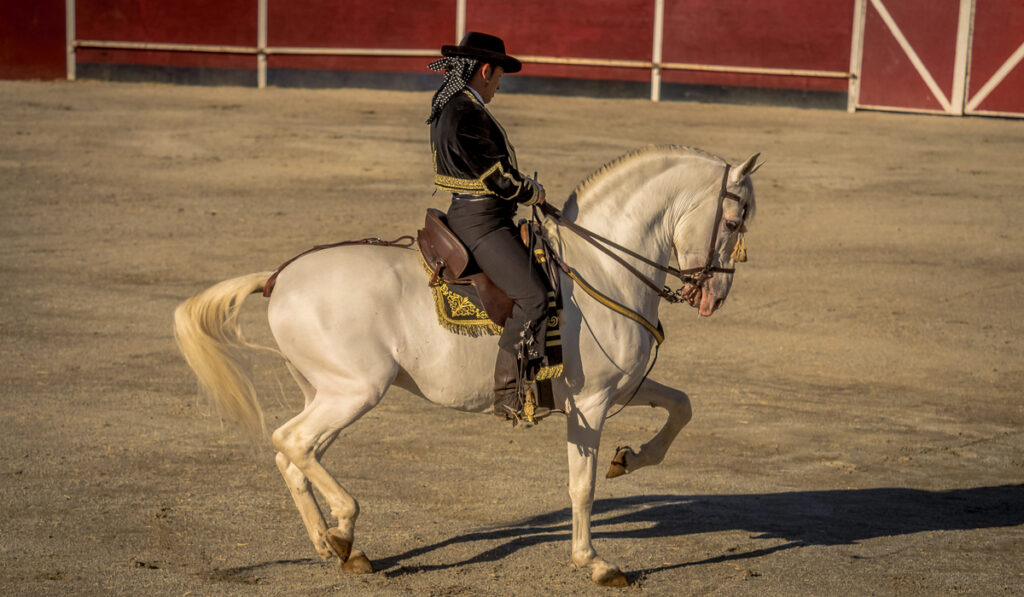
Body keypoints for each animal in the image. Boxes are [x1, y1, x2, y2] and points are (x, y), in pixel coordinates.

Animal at [174, 146, 761, 589]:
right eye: (733, 220)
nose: (716, 296)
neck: (600, 268)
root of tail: (280, 276)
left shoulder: (621, 387)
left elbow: (682, 406)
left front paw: (629, 458)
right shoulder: (590, 402)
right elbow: (582, 486)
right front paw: (594, 562)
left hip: (327, 393)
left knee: (296, 453)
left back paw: (335, 546)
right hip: (356, 392)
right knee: (292, 443)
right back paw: (342, 532)